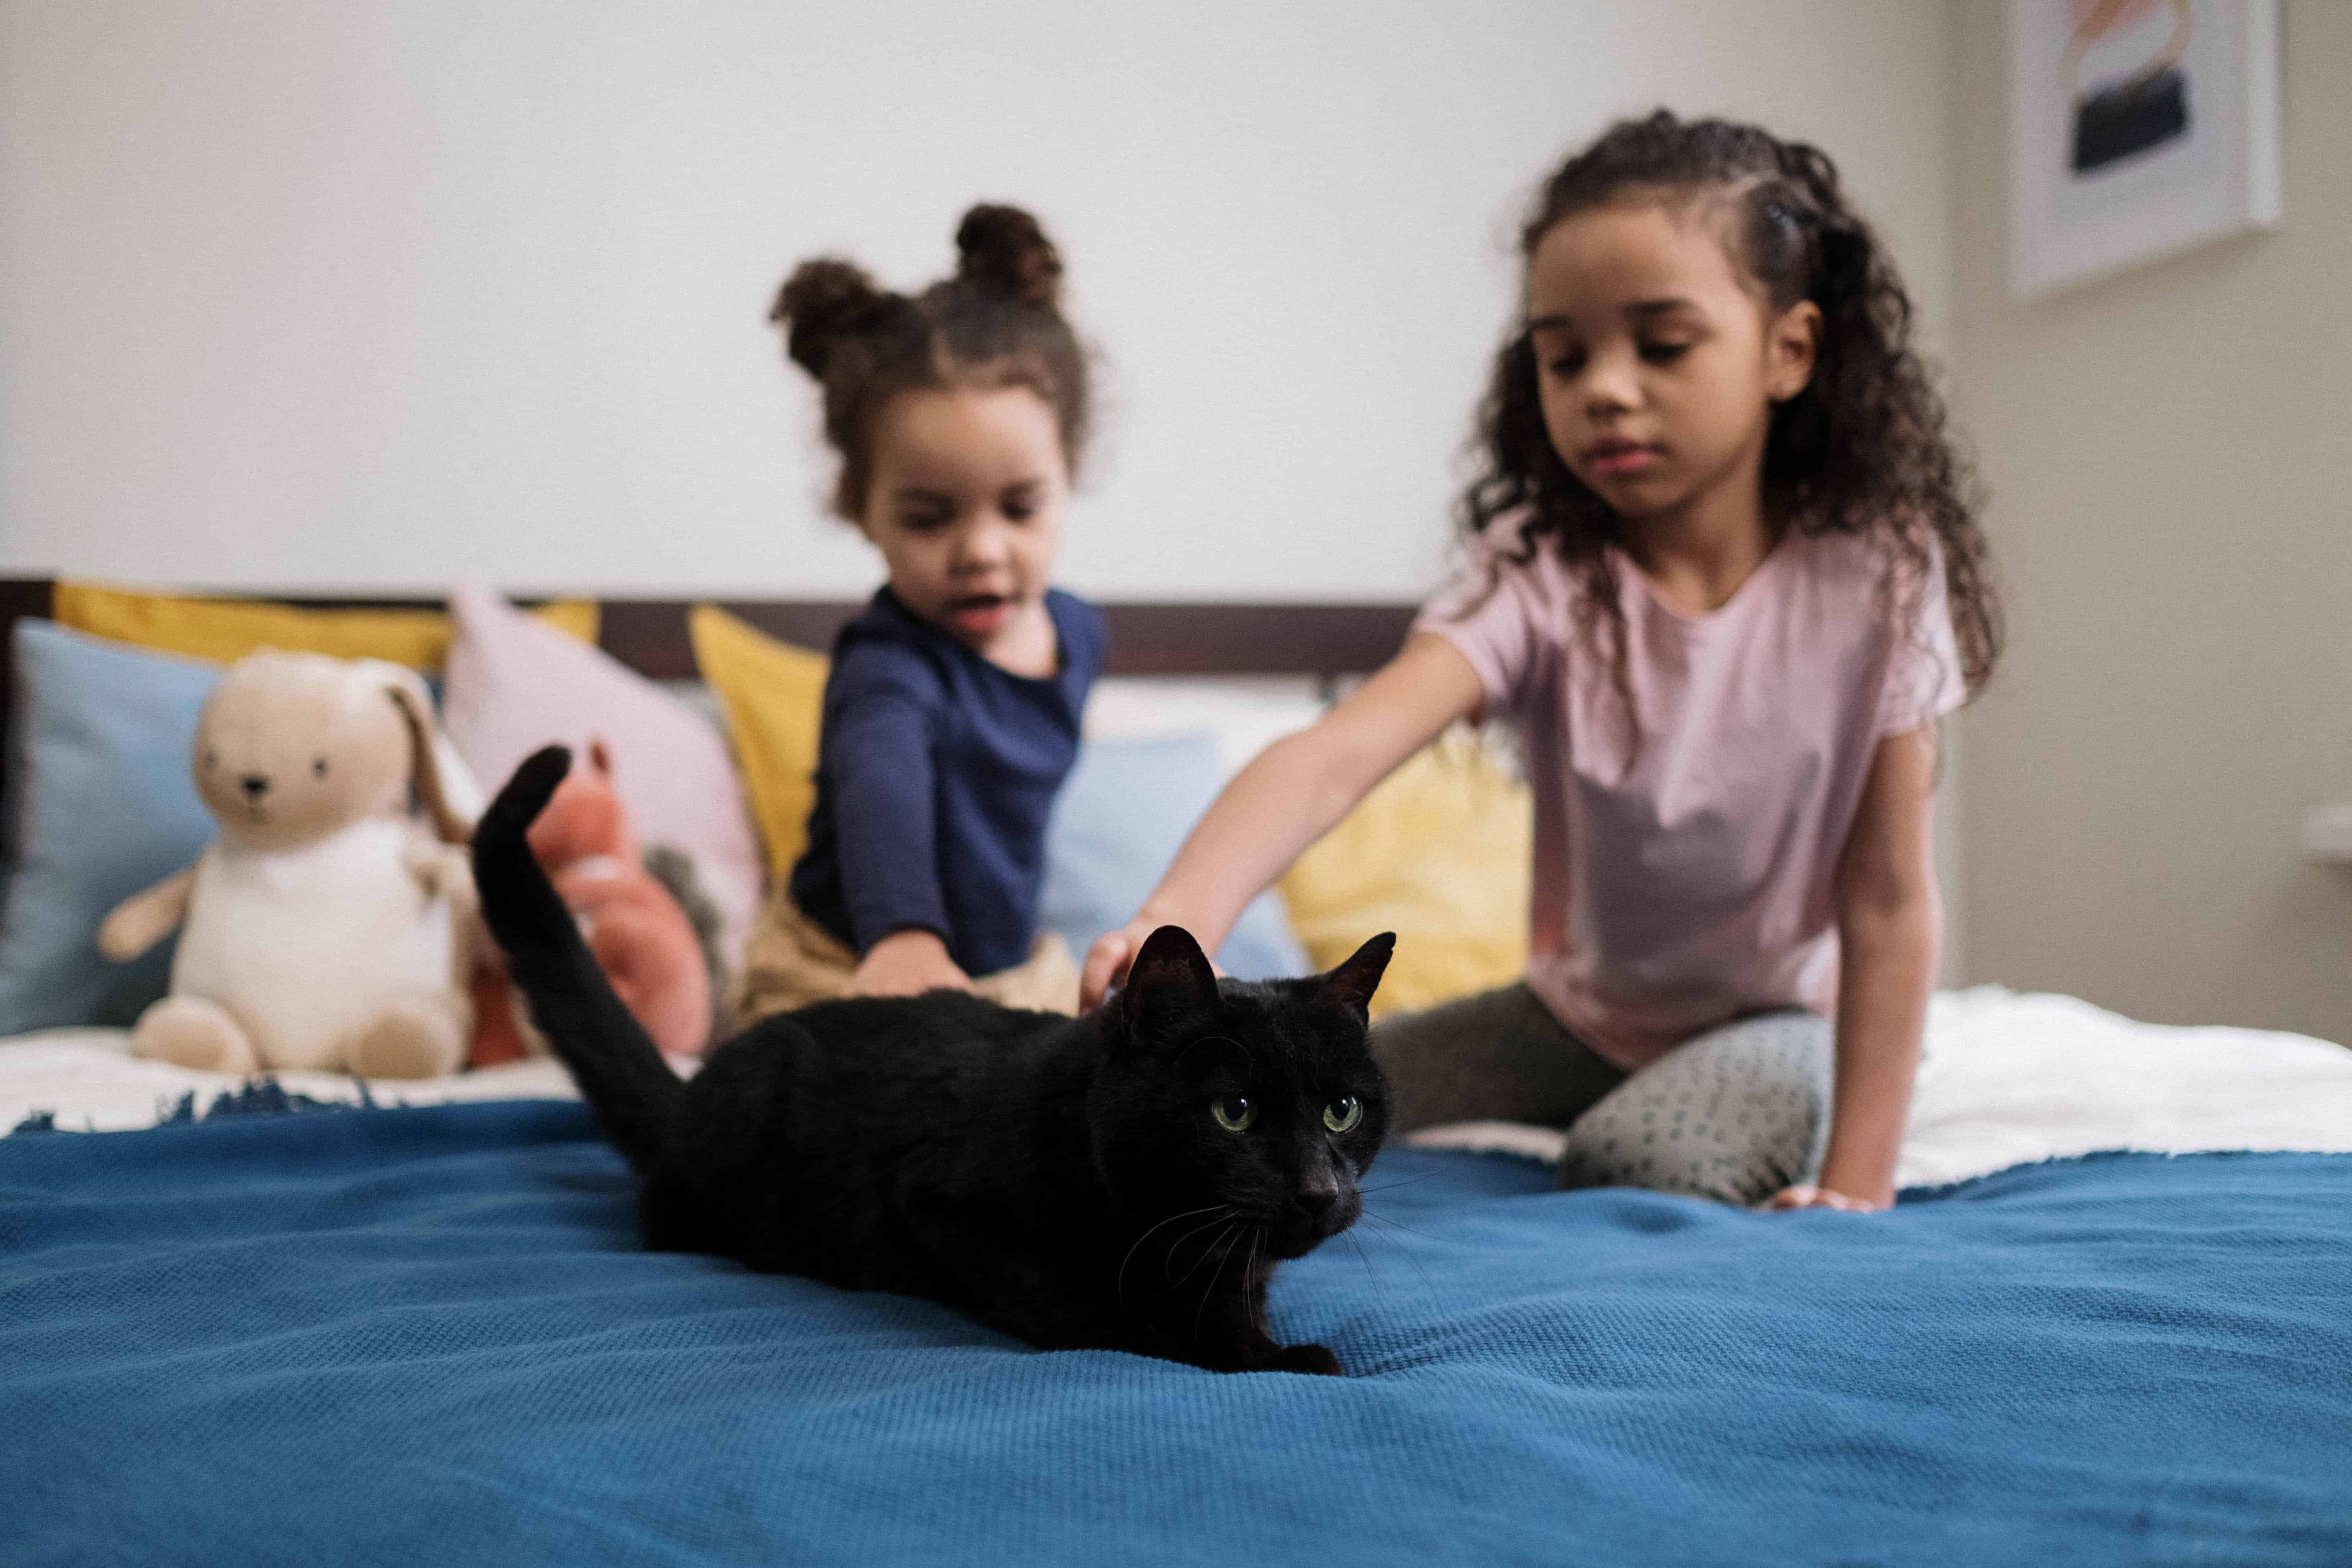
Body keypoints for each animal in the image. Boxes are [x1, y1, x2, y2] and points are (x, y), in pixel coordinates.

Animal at [477, 748, 1392, 1373]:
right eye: (1232, 1111)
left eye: (1341, 1110)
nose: (1318, 1191)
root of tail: (695, 1088)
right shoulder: (942, 1208)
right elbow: (1084, 1311)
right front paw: (1203, 1349)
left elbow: (1236, 1305)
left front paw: (1265, 1348)